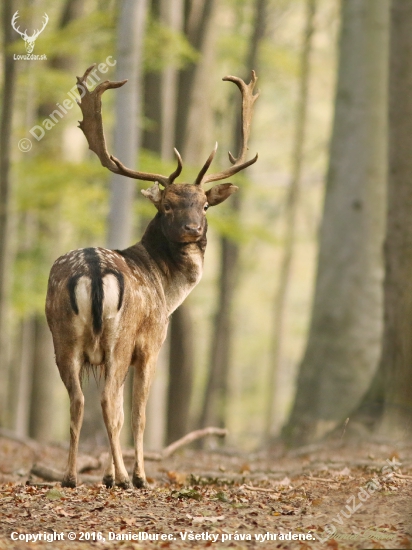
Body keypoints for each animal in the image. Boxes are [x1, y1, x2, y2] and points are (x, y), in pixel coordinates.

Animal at [45, 64, 258, 492]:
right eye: (167, 205)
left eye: (204, 204)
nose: (192, 229)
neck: (166, 288)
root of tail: (93, 271)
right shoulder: (150, 343)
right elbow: (138, 413)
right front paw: (136, 475)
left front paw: (108, 475)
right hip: (120, 337)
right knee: (109, 402)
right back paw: (131, 479)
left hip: (63, 338)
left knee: (79, 400)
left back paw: (71, 477)